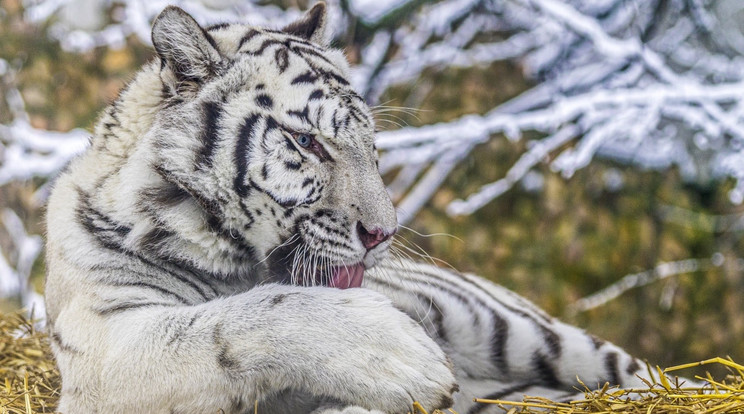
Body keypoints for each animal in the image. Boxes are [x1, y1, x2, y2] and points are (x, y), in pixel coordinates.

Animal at [48, 4, 656, 414]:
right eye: (307, 142)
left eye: (371, 144)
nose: (384, 233)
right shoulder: (105, 351)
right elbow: (247, 315)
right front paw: (409, 361)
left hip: (507, 325)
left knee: (643, 372)